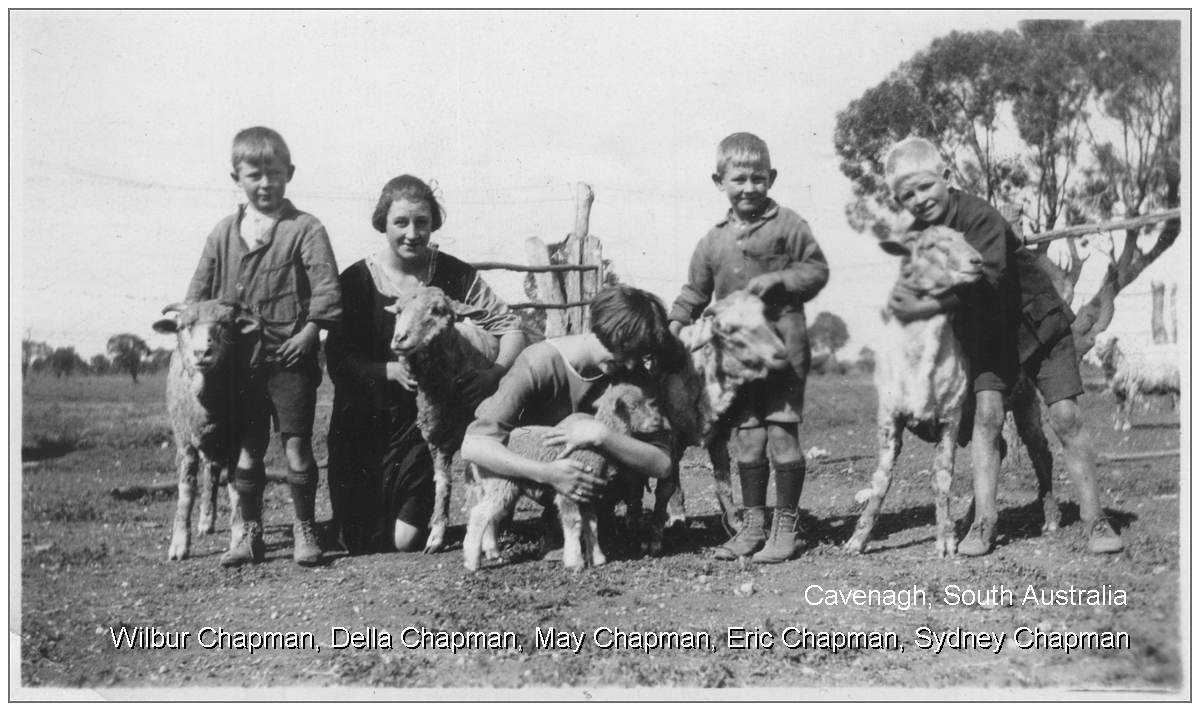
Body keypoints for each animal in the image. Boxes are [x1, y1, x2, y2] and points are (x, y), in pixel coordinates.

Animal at [152, 300, 260, 562]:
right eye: (183, 326)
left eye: (225, 324)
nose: (202, 352)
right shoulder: (185, 444)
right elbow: (186, 492)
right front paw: (179, 544)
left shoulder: (235, 442)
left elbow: (236, 490)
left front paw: (239, 537)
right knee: (209, 477)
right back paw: (205, 522)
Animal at [384, 284, 496, 554]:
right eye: (399, 310)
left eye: (437, 310)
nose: (399, 338)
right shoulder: (436, 443)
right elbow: (442, 486)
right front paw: (436, 536)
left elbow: (477, 485)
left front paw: (487, 540)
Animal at [458, 377, 667, 571]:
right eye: (633, 406)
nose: (658, 420)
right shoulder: (569, 491)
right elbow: (574, 523)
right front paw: (575, 562)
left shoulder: (588, 493)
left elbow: (591, 524)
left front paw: (597, 559)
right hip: (501, 482)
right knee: (479, 514)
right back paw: (472, 562)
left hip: (493, 484)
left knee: (489, 515)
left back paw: (492, 551)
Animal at [662, 288, 792, 538]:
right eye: (729, 329)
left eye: (766, 317)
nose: (781, 354)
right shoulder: (671, 437)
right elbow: (672, 484)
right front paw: (677, 519)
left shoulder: (719, 438)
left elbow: (723, 486)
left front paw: (735, 523)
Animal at [844, 224, 984, 557]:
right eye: (930, 245)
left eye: (963, 237)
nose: (977, 261)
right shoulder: (888, 418)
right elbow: (881, 479)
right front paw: (858, 539)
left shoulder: (951, 417)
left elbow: (943, 478)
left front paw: (945, 540)